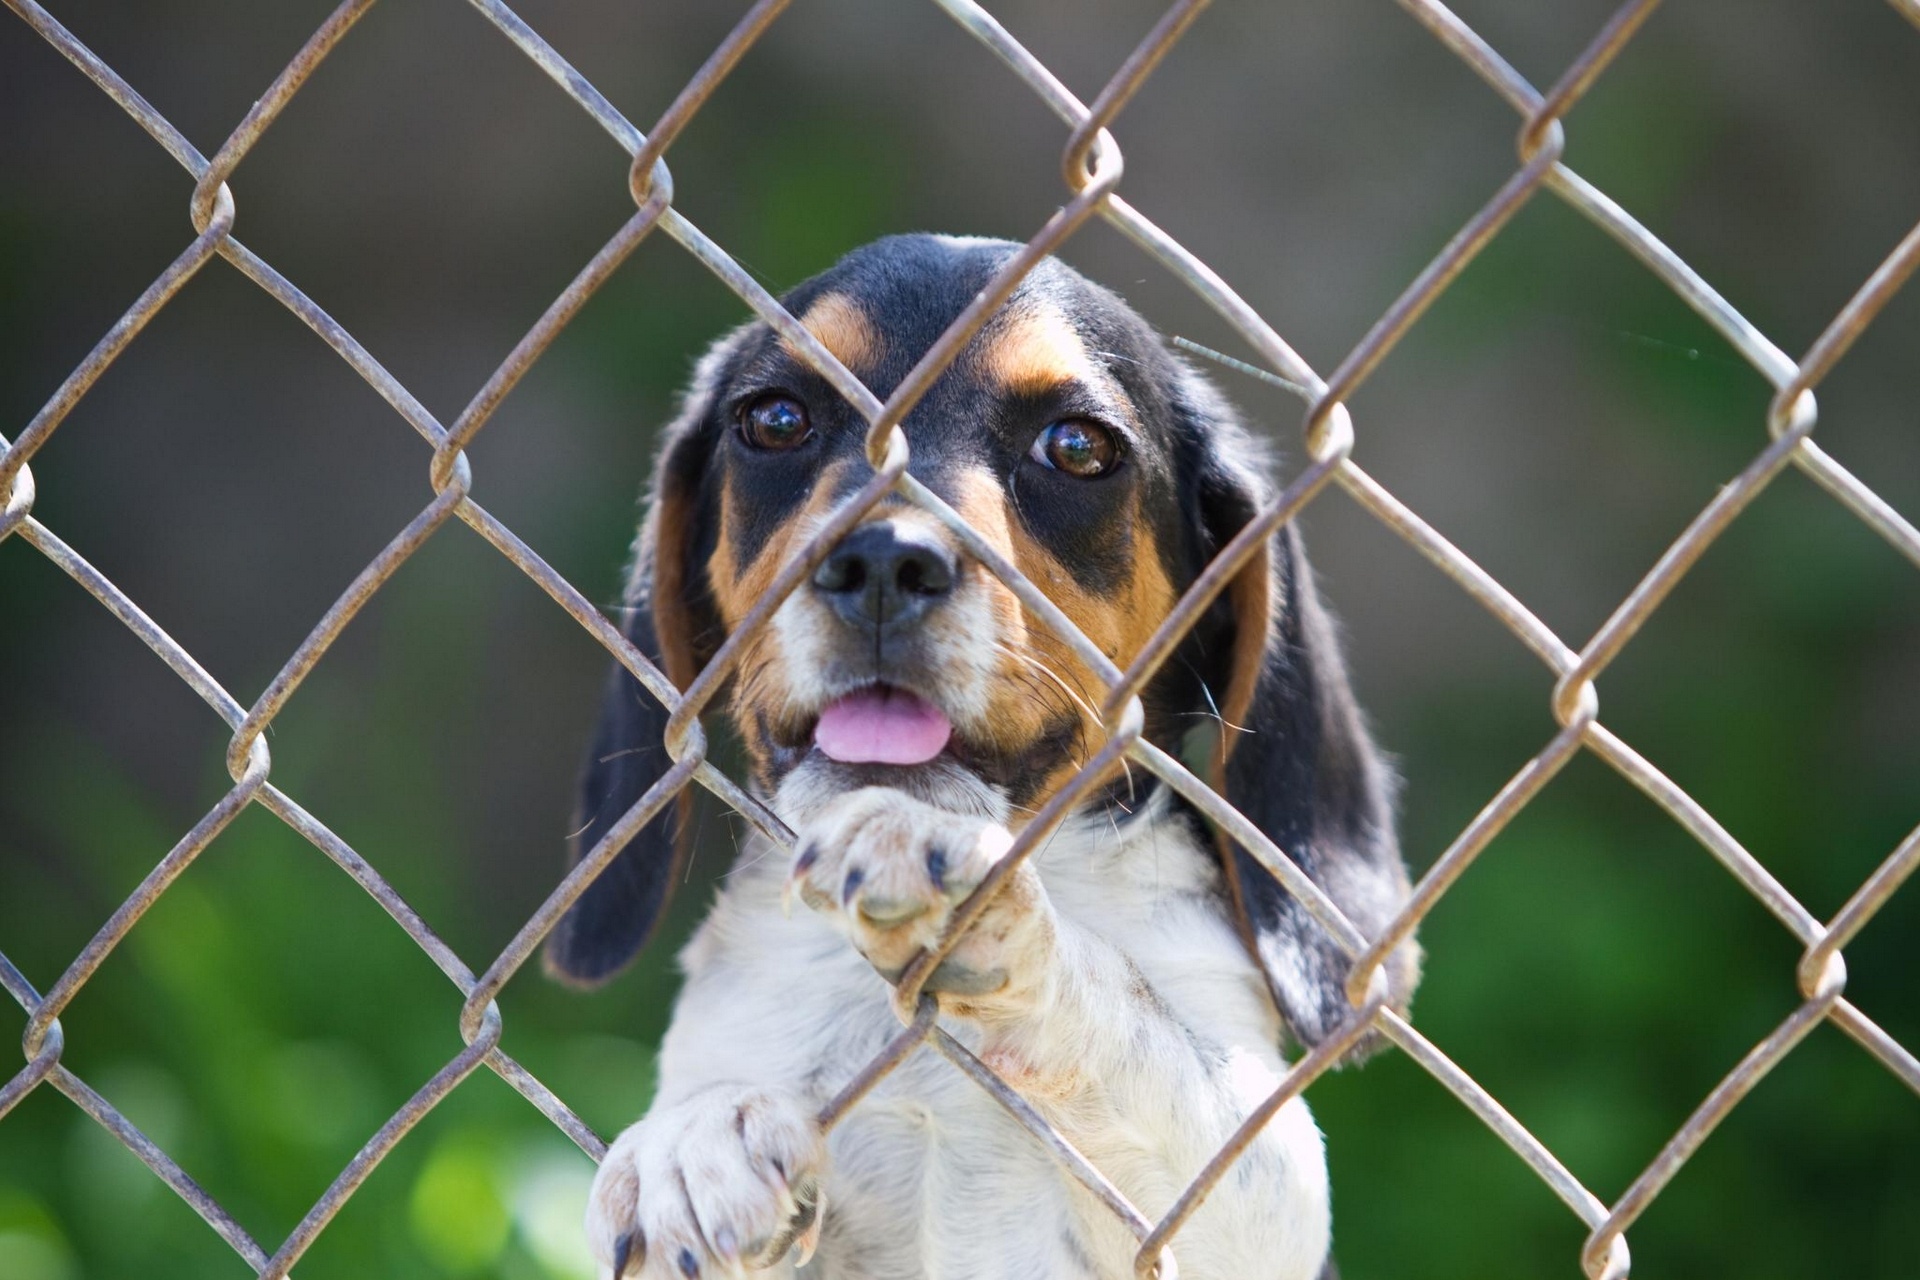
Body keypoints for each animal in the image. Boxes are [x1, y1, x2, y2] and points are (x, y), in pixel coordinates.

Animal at [549, 233, 1420, 1280]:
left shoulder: (1251, 1195)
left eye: (1078, 448)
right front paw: (691, 1141)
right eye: (776, 420)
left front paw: (990, 910)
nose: (884, 561)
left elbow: (1139, 1026)